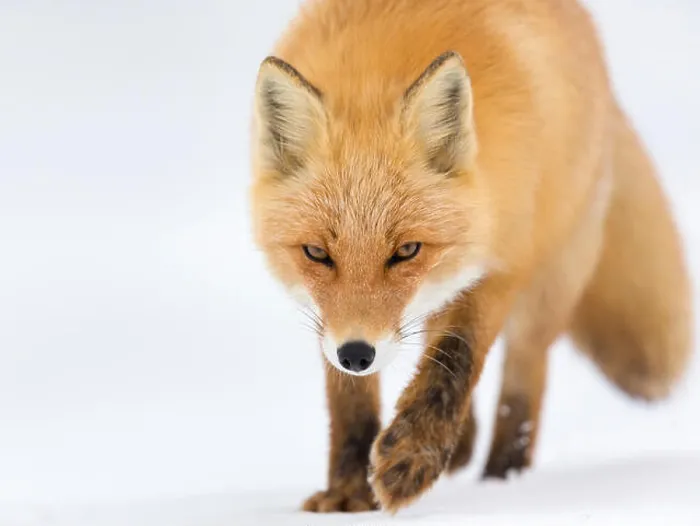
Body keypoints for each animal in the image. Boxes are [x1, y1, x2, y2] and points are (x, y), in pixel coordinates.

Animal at [248, 0, 693, 514]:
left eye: (406, 251)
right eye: (317, 253)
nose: (357, 353)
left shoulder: (503, 263)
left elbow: (457, 359)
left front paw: (411, 458)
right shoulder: (330, 320)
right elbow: (349, 400)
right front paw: (348, 492)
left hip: (548, 284)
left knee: (522, 385)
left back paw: (504, 478)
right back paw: (460, 450)